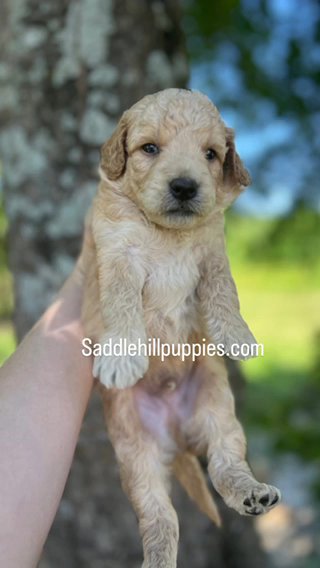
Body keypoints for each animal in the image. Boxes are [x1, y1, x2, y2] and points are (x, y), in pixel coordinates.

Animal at [82, 89, 280, 568]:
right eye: (150, 148)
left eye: (211, 154)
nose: (186, 187)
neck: (165, 234)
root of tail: (177, 437)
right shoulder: (114, 255)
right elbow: (121, 303)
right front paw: (122, 358)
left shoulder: (213, 253)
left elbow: (226, 293)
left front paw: (240, 339)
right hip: (136, 457)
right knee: (159, 517)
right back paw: (158, 558)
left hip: (219, 413)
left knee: (226, 464)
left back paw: (252, 494)